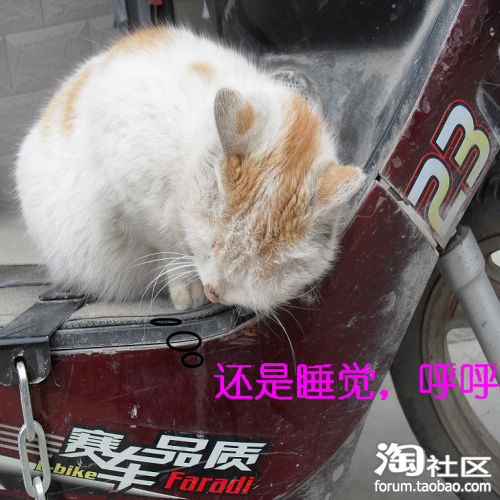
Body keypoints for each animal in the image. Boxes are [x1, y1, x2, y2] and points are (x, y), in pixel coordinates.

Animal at [15, 26, 366, 313]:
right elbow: (167, 244)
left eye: (257, 273)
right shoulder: (129, 200)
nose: (214, 292)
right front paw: (188, 287)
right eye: (210, 245)